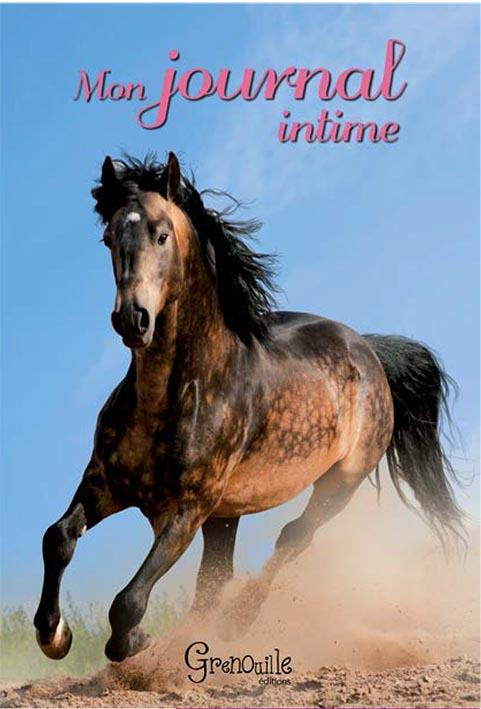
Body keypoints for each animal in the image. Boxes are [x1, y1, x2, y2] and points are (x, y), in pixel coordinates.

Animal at [34, 151, 464, 663]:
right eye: (108, 237)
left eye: (162, 234)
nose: (132, 319)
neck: (173, 394)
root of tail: (369, 351)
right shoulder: (105, 483)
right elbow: (58, 537)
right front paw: (54, 635)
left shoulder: (186, 509)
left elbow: (129, 600)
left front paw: (134, 642)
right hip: (227, 514)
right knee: (214, 579)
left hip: (339, 483)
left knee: (293, 538)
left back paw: (237, 622)